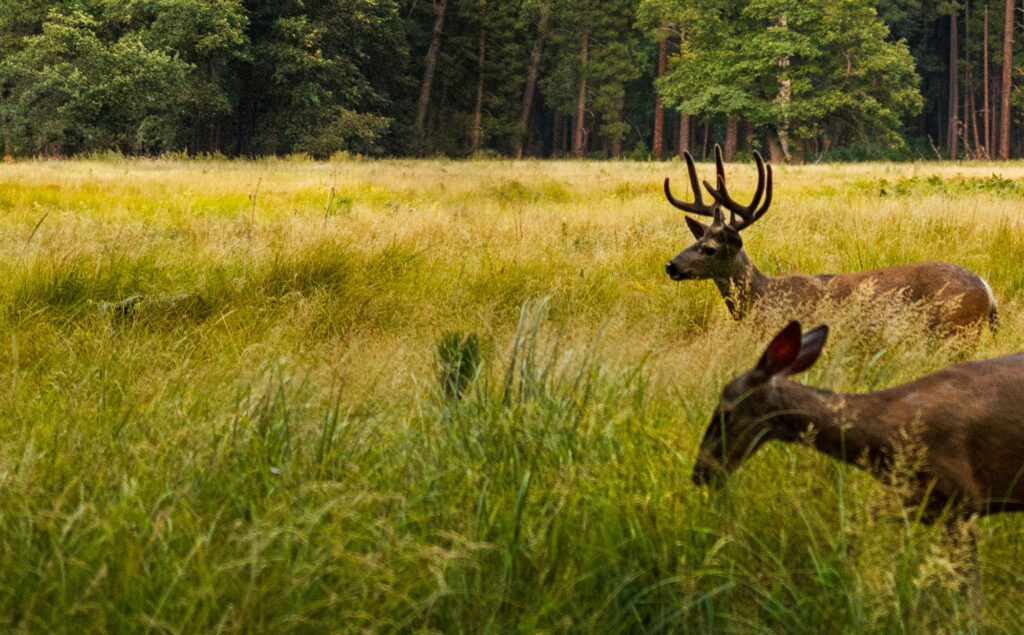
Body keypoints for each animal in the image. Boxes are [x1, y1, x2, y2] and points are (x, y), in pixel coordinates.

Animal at [663, 146, 998, 334]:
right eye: (695, 240)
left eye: (709, 248)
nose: (671, 265)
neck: (764, 297)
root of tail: (987, 289)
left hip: (958, 330)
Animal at [692, 321, 1024, 607]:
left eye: (724, 414)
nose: (700, 473)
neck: (885, 434)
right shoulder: (922, 502)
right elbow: (854, 528)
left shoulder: (960, 498)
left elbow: (971, 592)